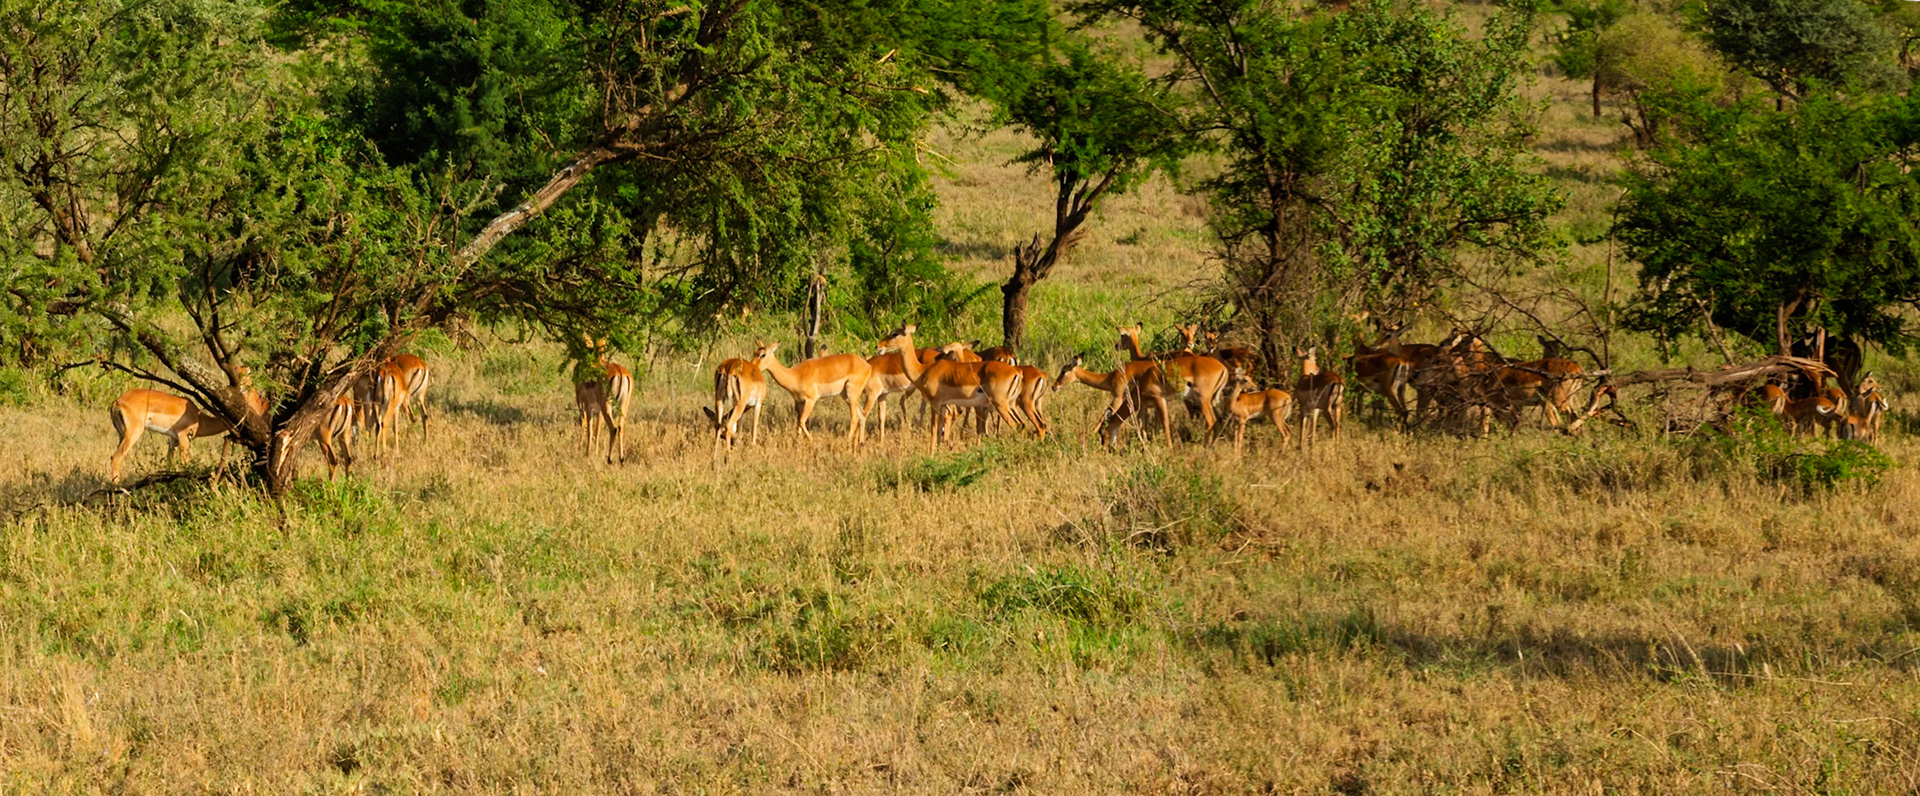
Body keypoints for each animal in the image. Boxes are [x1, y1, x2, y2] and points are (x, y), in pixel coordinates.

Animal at [107, 374, 269, 483]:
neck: (199, 417)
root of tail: (118, 402)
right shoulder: (184, 437)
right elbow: (184, 464)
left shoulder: (173, 439)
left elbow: (170, 464)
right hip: (133, 434)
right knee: (116, 457)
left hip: (121, 434)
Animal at [878, 326, 1027, 453]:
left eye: (895, 333)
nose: (879, 346)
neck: (922, 370)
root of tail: (1016, 370)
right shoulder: (944, 404)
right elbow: (940, 428)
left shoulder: (936, 403)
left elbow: (934, 428)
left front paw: (931, 453)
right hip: (1009, 405)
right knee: (1022, 425)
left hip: (1000, 404)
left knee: (1016, 425)